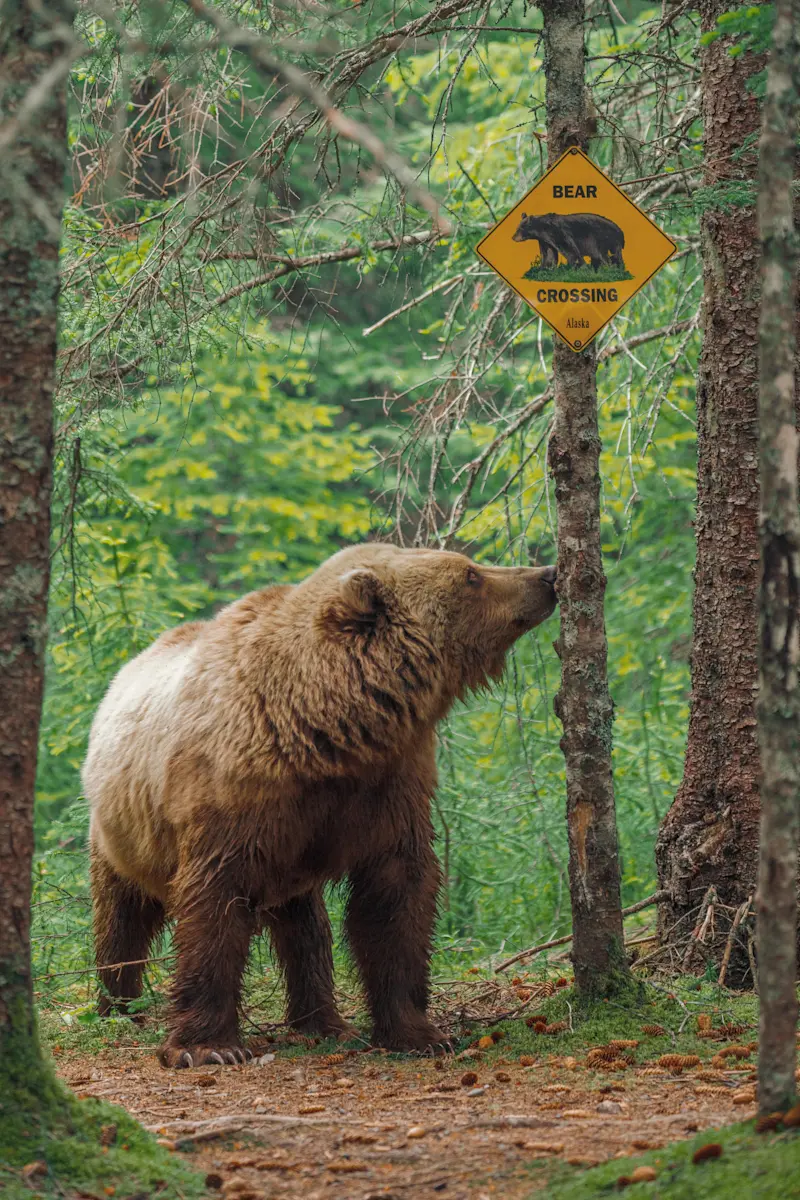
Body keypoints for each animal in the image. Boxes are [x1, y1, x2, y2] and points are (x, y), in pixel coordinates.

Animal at [83, 542, 557, 1068]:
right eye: (470, 574)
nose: (548, 575)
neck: (322, 726)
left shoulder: (386, 788)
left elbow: (395, 898)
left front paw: (418, 1031)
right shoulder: (231, 798)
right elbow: (214, 906)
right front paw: (206, 1046)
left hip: (290, 866)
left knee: (304, 929)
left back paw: (322, 1020)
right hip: (121, 833)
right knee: (120, 917)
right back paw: (117, 1005)